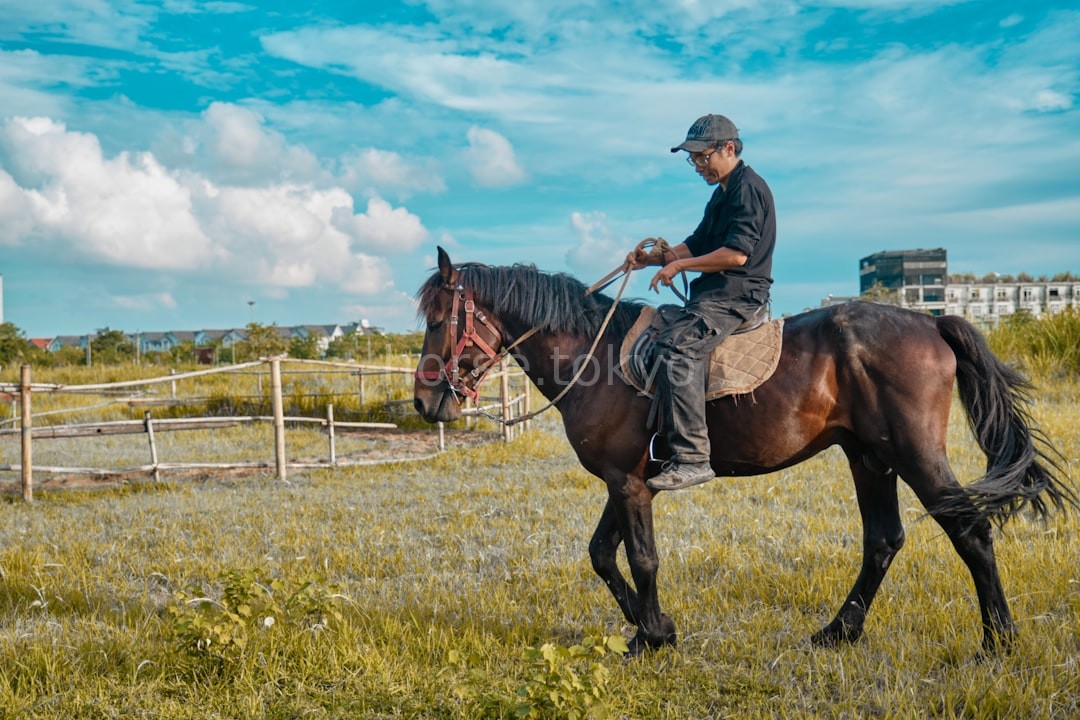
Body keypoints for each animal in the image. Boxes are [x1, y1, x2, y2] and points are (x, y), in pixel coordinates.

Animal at [412, 247, 1075, 657]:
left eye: (440, 318)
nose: (424, 401)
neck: (592, 356)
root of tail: (931, 321)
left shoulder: (627, 483)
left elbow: (641, 559)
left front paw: (653, 636)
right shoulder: (627, 480)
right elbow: (602, 555)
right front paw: (648, 628)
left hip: (915, 455)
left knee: (971, 533)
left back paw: (997, 642)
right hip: (870, 458)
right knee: (884, 541)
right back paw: (838, 632)